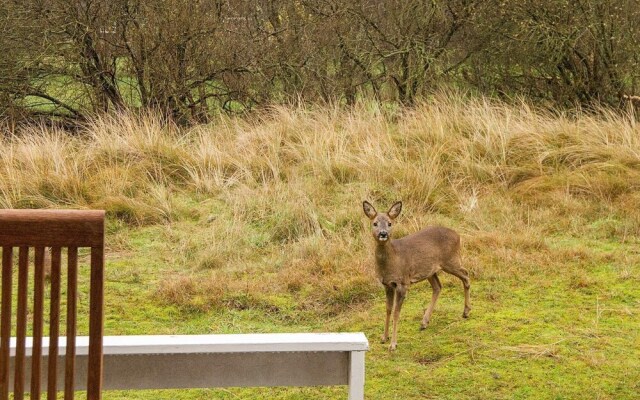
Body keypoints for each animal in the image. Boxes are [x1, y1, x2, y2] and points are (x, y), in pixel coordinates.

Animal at [362, 200, 472, 350]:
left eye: (390, 223)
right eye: (375, 223)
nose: (383, 234)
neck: (393, 260)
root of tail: (458, 235)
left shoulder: (402, 283)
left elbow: (396, 313)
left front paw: (393, 344)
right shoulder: (387, 284)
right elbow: (388, 310)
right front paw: (384, 338)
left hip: (451, 260)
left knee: (466, 274)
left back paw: (466, 311)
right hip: (431, 270)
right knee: (438, 287)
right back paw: (424, 322)